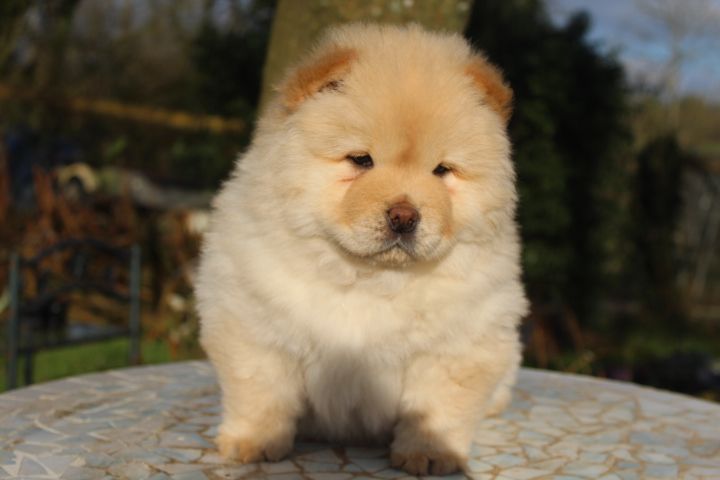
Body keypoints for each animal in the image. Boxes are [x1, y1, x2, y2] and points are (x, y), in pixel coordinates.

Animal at [195, 23, 527, 476]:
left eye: (442, 171)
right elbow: (260, 392)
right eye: (360, 160)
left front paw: (430, 454)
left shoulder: (457, 347)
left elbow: (437, 407)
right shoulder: (254, 328)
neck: (369, 278)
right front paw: (254, 444)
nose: (404, 215)